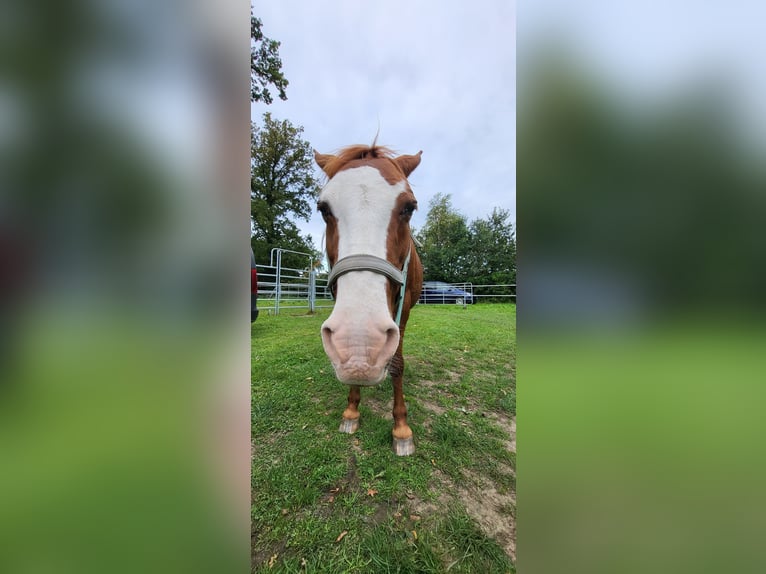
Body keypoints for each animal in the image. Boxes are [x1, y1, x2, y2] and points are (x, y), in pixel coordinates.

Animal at [314, 144, 424, 456]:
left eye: (409, 207)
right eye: (324, 209)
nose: (360, 342)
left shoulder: (404, 310)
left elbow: (397, 363)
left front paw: (401, 428)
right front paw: (351, 411)